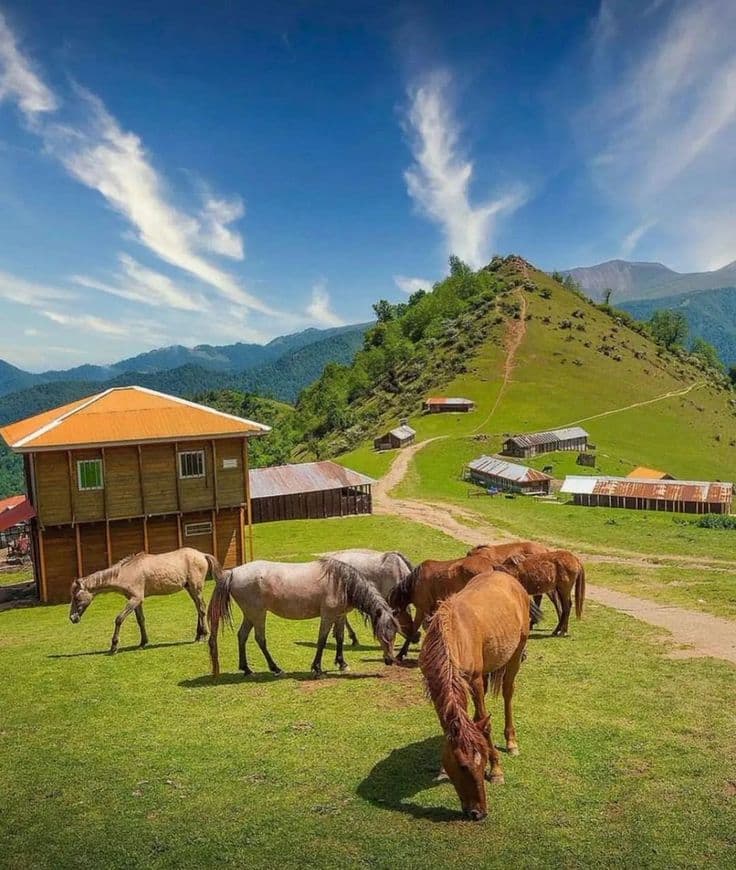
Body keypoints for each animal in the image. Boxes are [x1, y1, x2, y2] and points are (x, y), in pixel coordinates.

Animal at [68, 548, 218, 653]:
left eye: (76, 598)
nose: (72, 618)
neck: (126, 573)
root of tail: (202, 554)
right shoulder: (137, 601)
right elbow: (141, 620)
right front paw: (143, 642)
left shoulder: (135, 599)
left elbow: (119, 619)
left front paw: (114, 646)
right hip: (190, 589)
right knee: (198, 609)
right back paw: (198, 635)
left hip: (195, 588)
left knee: (202, 608)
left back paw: (203, 636)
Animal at [207, 557, 399, 677]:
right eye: (380, 635)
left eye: (394, 634)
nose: (390, 660)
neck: (341, 583)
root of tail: (232, 573)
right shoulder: (328, 616)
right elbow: (322, 640)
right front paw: (317, 668)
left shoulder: (339, 616)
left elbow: (340, 638)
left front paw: (342, 663)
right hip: (258, 614)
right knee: (260, 639)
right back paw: (276, 669)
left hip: (250, 615)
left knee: (242, 636)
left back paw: (246, 669)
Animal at [419, 570, 530, 822]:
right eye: (462, 766)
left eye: (482, 762)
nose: (478, 813)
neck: (453, 633)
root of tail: (509, 579)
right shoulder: (437, 685)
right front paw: (442, 770)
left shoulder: (476, 680)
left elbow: (484, 723)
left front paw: (496, 770)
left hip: (516, 652)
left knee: (508, 691)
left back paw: (511, 742)